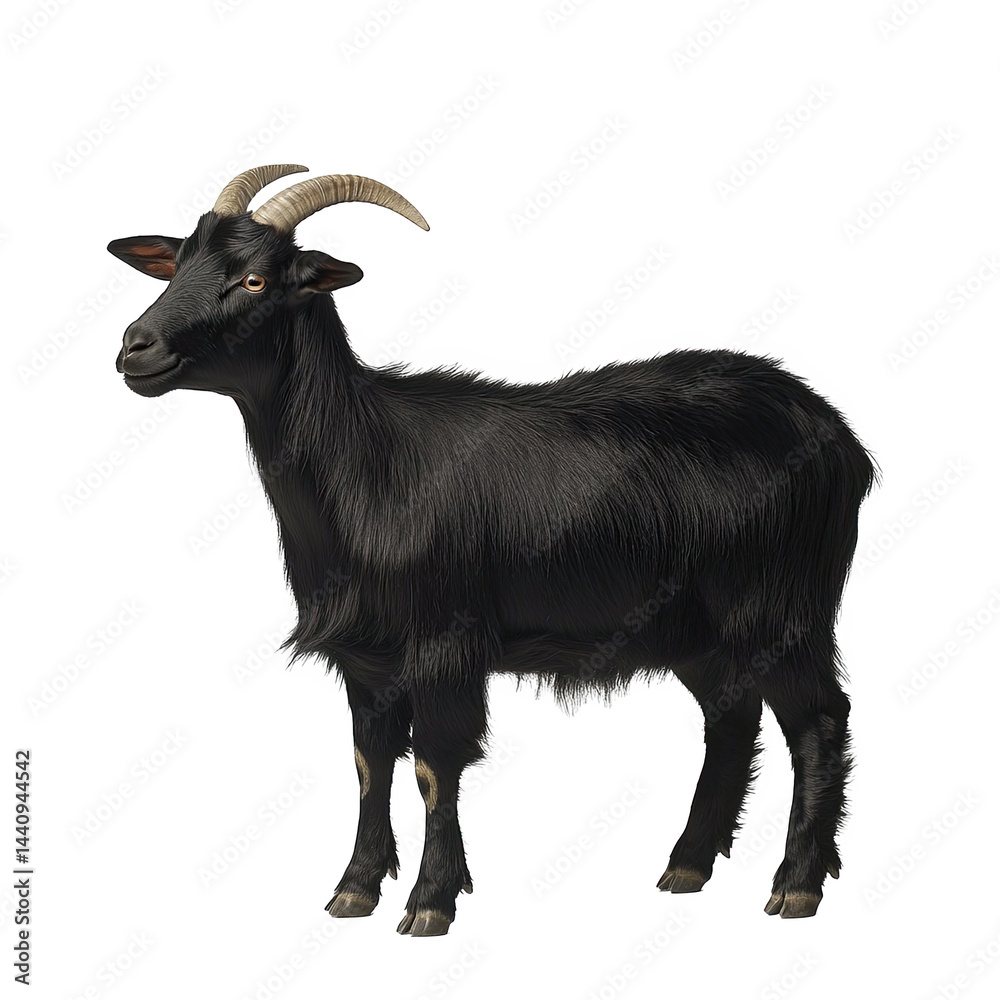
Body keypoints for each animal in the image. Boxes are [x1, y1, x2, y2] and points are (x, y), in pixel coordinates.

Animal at [110, 164, 875, 936]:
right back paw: (687, 866)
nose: (135, 348)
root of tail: (839, 437)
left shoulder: (446, 642)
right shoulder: (368, 654)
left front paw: (429, 902)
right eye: (179, 262)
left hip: (781, 611)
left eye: (256, 279)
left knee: (817, 720)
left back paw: (796, 885)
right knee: (732, 719)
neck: (369, 460)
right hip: (698, 631)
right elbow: (369, 763)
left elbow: (434, 765)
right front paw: (355, 888)